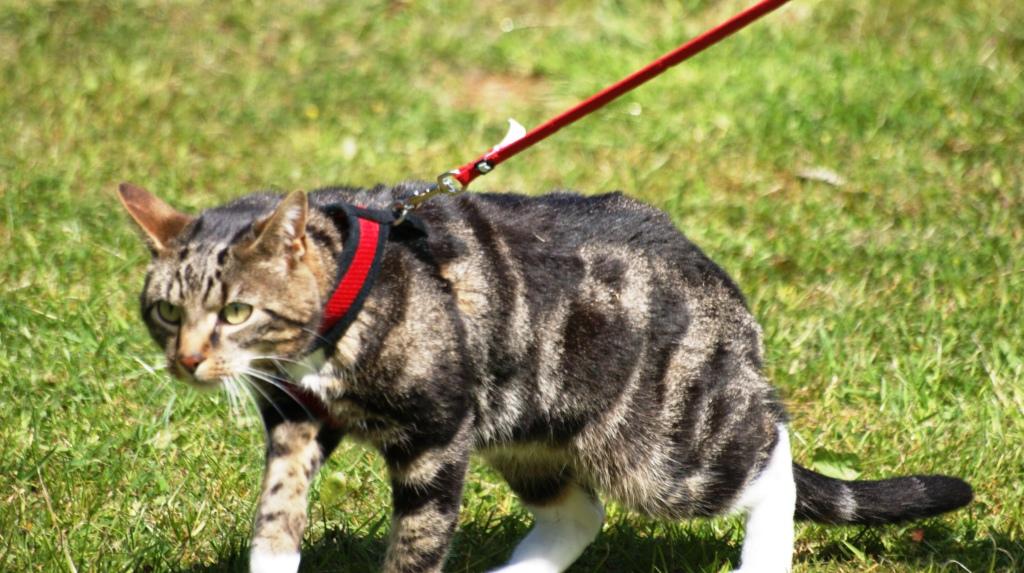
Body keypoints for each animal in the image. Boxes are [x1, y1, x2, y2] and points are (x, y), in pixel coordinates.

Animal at [116, 180, 970, 573]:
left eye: (234, 310)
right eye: (165, 310)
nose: (186, 359)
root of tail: (720, 283)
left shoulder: (435, 436)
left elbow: (417, 540)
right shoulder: (296, 420)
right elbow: (276, 513)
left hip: (665, 450)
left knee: (772, 450)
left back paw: (764, 553)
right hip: (528, 428)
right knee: (577, 514)